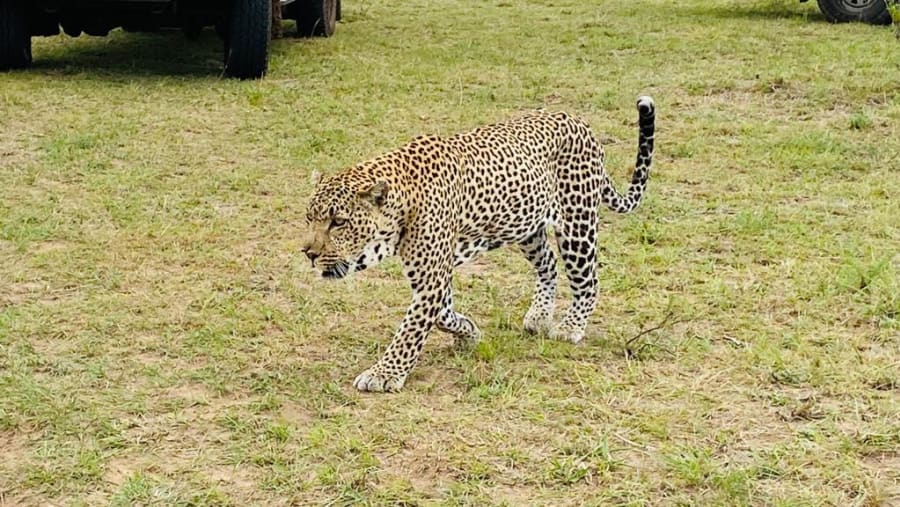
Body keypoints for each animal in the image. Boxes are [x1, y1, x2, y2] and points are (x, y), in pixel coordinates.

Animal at [301, 96, 656, 392]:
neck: (403, 201)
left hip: (576, 222)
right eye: (309, 217)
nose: (309, 253)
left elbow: (412, 328)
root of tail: (579, 122)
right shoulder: (431, 273)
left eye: (338, 222)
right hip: (526, 226)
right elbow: (442, 315)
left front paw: (384, 374)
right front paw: (468, 333)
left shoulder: (431, 276)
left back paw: (570, 327)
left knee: (588, 280)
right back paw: (539, 315)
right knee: (549, 265)